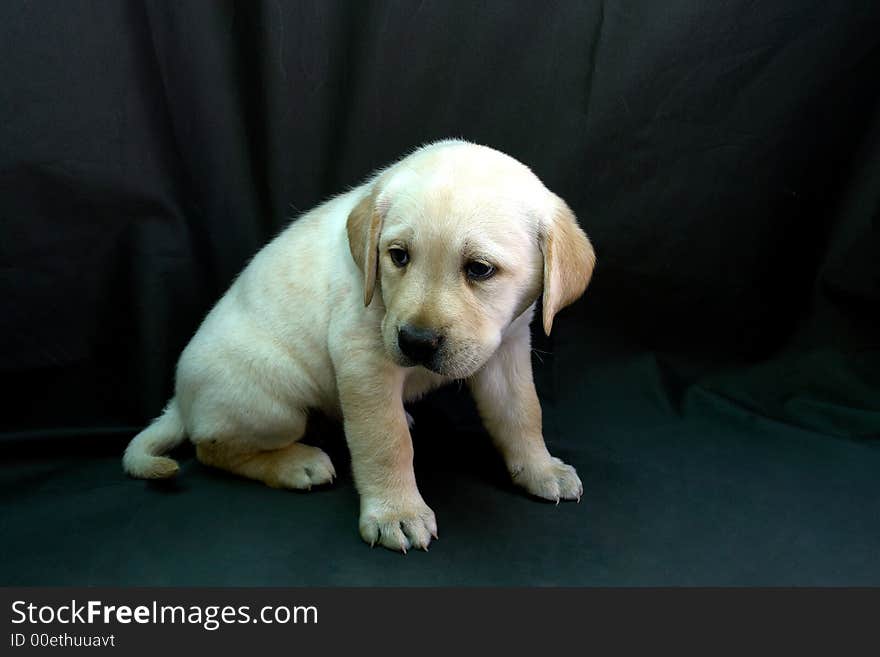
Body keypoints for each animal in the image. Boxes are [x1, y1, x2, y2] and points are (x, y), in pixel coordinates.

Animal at [120, 141, 596, 552]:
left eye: (480, 269)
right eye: (398, 256)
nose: (416, 342)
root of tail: (180, 401)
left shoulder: (508, 346)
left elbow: (523, 414)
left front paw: (540, 468)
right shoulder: (364, 360)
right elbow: (384, 440)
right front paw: (396, 512)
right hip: (273, 406)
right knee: (212, 448)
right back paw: (295, 464)